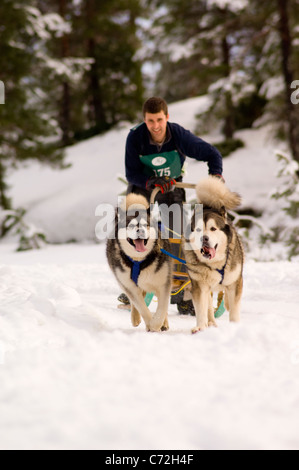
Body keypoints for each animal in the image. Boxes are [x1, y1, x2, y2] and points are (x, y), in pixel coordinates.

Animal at [107, 193, 173, 332]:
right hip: (125, 283)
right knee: (135, 302)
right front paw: (150, 324)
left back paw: (163, 323)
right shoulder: (130, 286)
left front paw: (157, 324)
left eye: (145, 225)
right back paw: (135, 317)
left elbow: (162, 308)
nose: (141, 231)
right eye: (131, 226)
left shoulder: (163, 283)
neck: (140, 261)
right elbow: (141, 307)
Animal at [184, 176, 245, 334]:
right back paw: (210, 323)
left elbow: (234, 309)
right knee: (209, 307)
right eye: (198, 229)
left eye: (213, 229)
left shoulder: (234, 283)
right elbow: (201, 308)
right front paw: (200, 326)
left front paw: (235, 326)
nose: (204, 238)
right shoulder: (199, 285)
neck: (216, 264)